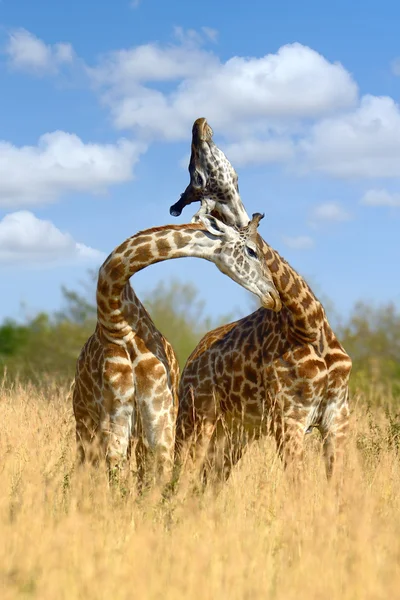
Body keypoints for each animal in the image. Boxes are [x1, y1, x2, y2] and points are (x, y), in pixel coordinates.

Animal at [72, 213, 282, 490]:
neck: (117, 322)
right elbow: (118, 471)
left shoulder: (158, 405)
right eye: (251, 251)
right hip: (85, 419)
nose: (274, 295)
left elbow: (160, 468)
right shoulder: (116, 407)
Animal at [170, 118, 352, 488]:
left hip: (237, 431)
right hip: (196, 416)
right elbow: (299, 488)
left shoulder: (337, 414)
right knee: (180, 472)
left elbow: (339, 487)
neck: (307, 323)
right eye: (196, 175)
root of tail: (193, 358)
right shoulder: (289, 418)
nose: (199, 124)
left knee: (207, 483)